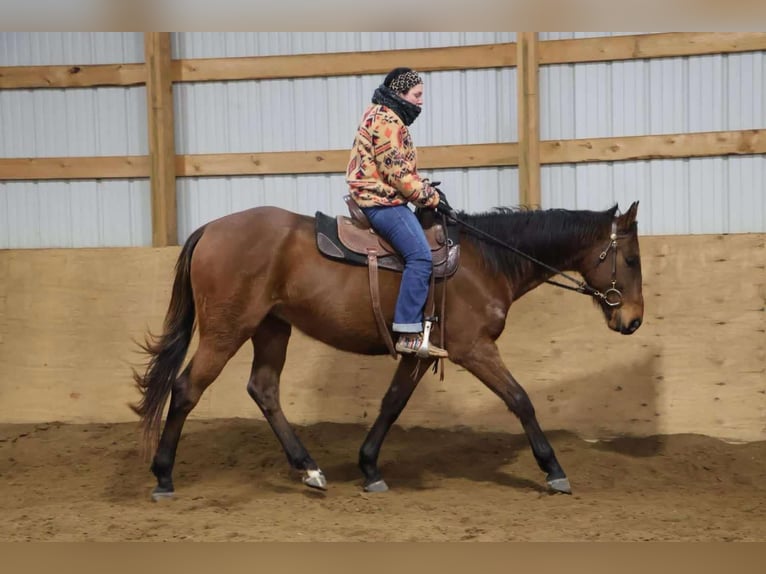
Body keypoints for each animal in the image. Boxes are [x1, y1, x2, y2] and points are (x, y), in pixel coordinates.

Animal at [132, 201, 643, 500]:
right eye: (632, 258)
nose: (633, 320)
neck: (485, 261)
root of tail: (209, 229)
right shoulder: (474, 349)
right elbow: (520, 399)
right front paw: (554, 469)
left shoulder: (419, 353)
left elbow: (392, 404)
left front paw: (369, 467)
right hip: (227, 331)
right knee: (186, 389)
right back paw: (163, 476)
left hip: (272, 328)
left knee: (264, 389)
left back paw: (310, 469)